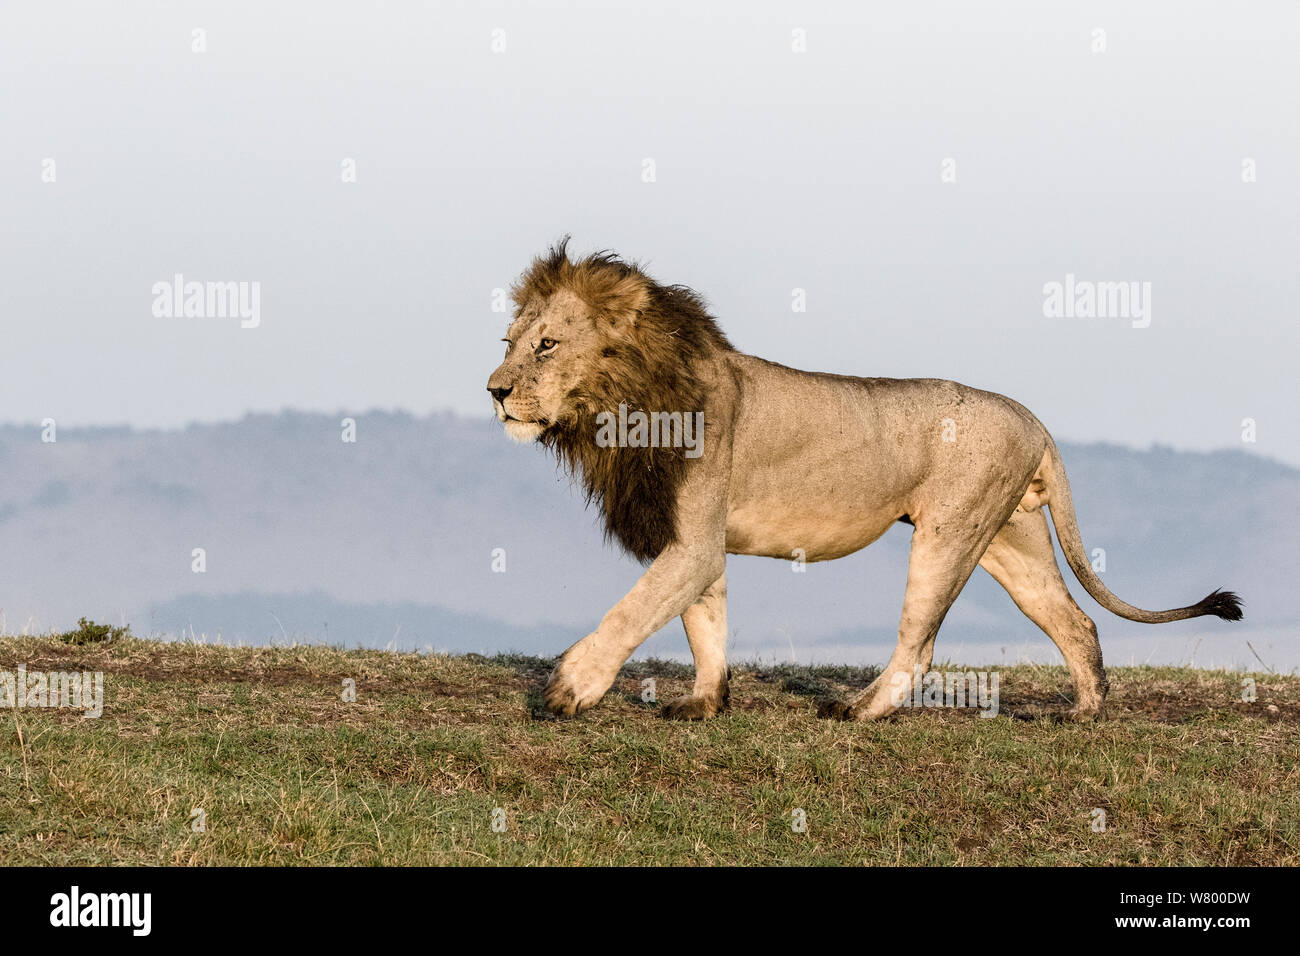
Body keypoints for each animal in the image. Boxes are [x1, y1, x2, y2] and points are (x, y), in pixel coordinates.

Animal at [487, 240, 1243, 721]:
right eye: (509, 343)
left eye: (546, 345)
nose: (494, 391)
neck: (621, 404)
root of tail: (1035, 420)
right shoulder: (692, 533)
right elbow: (703, 618)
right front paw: (705, 703)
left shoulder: (692, 540)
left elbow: (633, 610)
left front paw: (568, 689)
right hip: (1009, 537)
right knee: (1075, 619)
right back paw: (1084, 712)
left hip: (948, 533)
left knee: (921, 643)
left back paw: (860, 710)